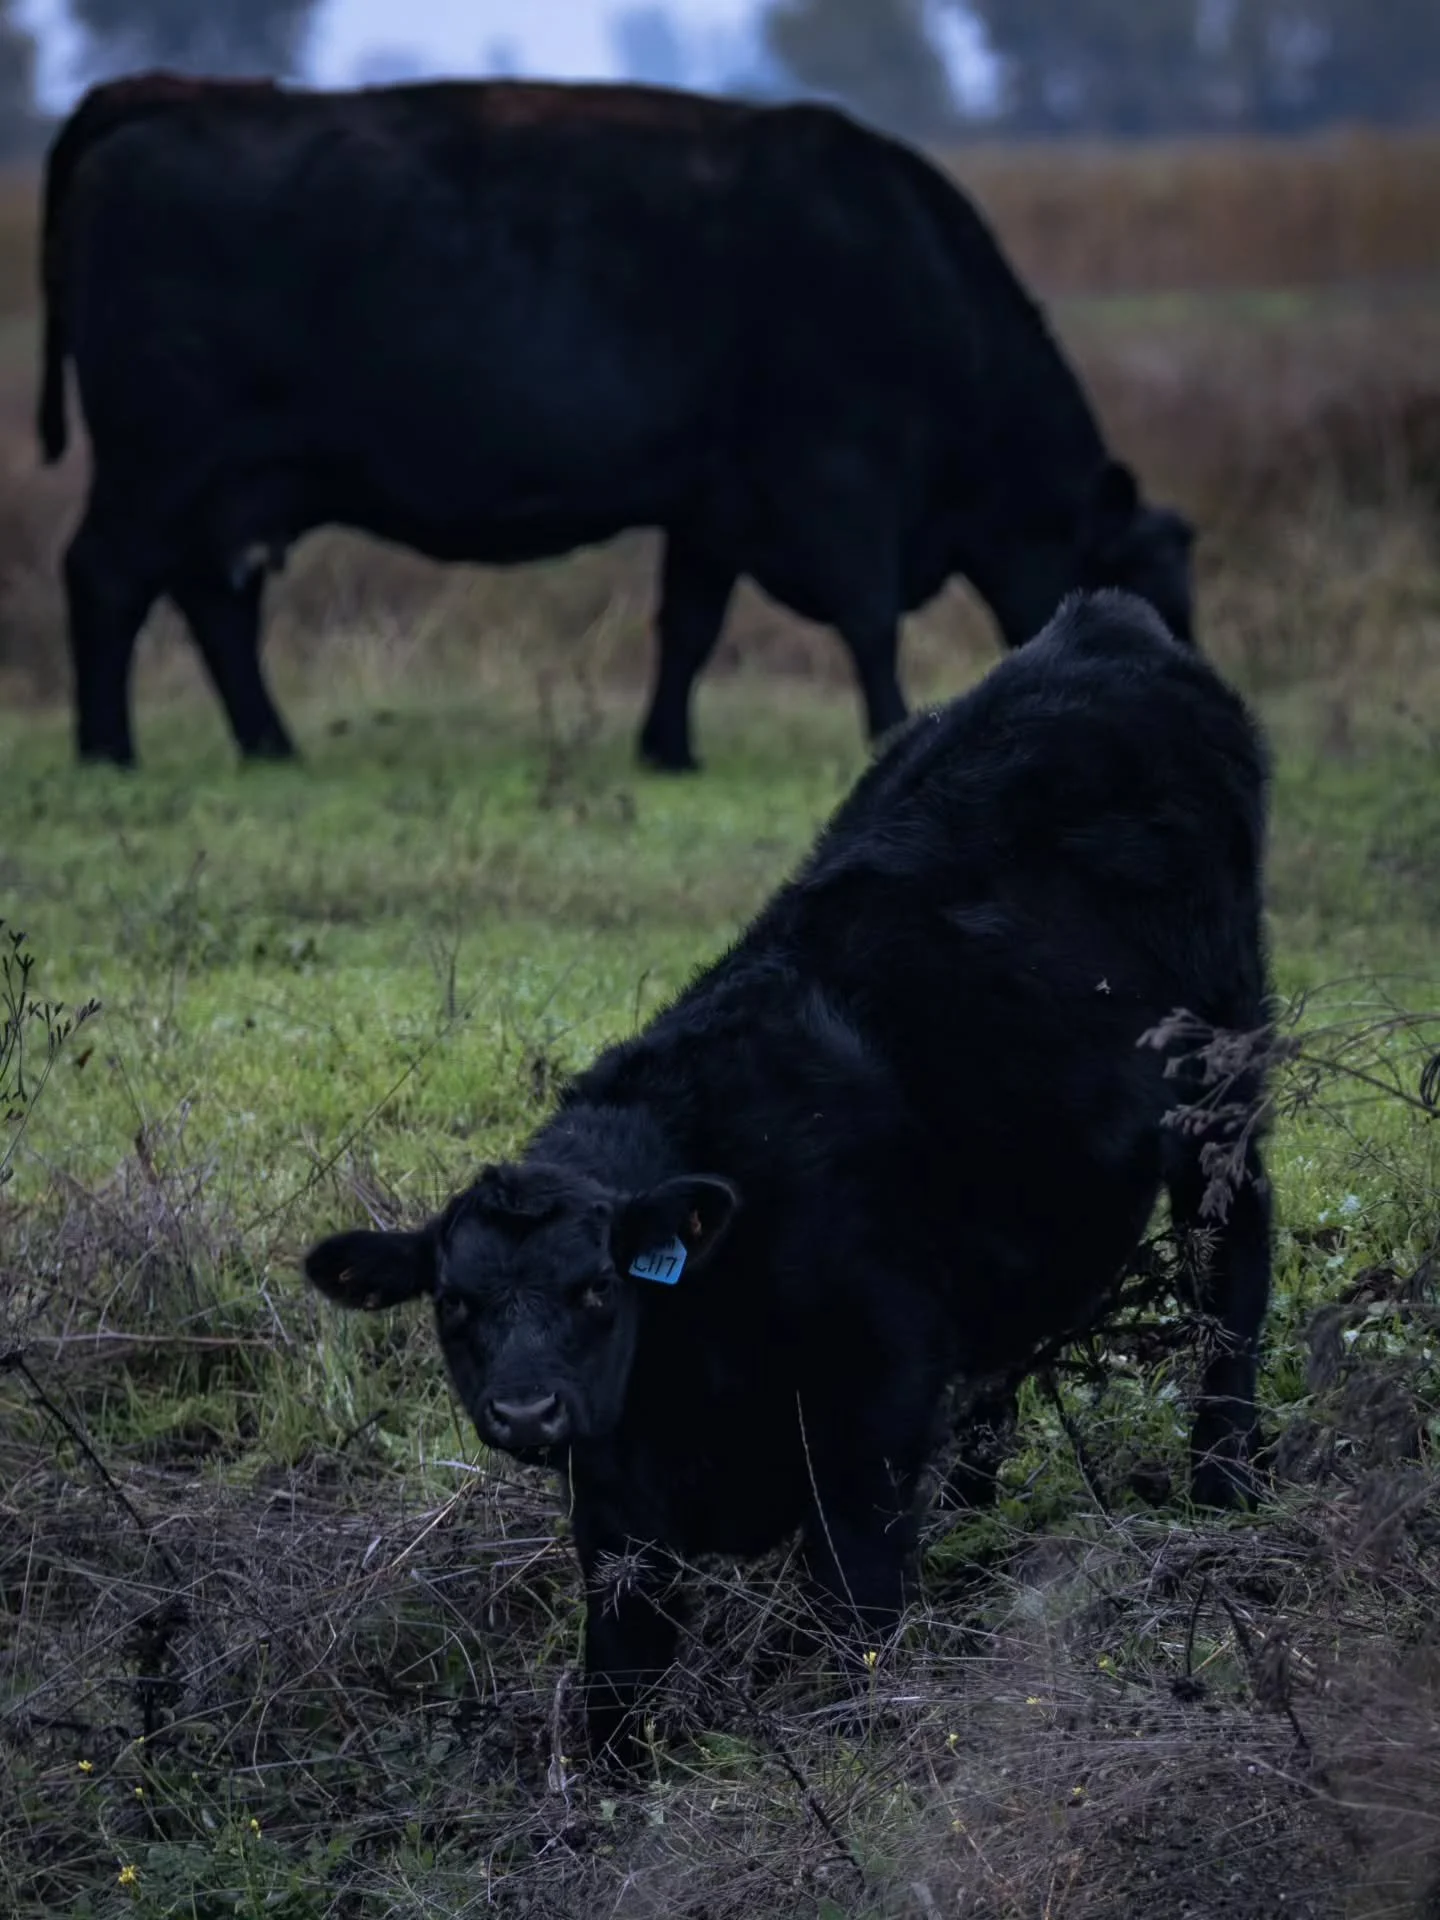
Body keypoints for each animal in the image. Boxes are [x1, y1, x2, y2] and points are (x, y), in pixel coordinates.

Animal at [40, 74, 1196, 771]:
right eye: (1137, 584)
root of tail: (172, 93)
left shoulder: (714, 506)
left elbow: (687, 628)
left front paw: (667, 750)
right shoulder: (840, 479)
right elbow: (870, 622)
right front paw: (887, 729)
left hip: (226, 489)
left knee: (212, 604)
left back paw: (270, 746)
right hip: (156, 467)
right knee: (105, 578)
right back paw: (107, 750)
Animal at [304, 590, 1272, 1764]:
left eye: (598, 1288)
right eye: (453, 1304)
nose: (528, 1410)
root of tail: (1102, 620)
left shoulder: (874, 1408)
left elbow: (852, 1611)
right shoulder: (617, 1503)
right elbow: (618, 1667)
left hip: (1224, 1075)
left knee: (1235, 1262)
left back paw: (1221, 1485)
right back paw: (983, 1517)